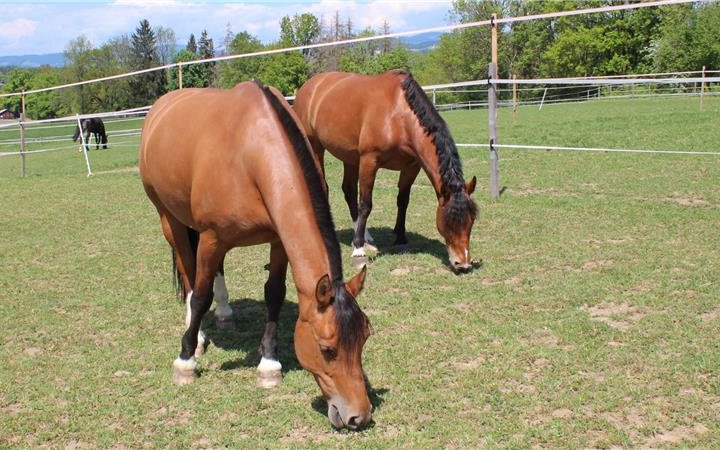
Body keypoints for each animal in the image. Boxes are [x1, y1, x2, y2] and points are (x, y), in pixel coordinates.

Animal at [138, 81, 372, 432]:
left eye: (364, 339)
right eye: (328, 350)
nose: (359, 416)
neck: (250, 153)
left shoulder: (278, 240)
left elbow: (274, 293)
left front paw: (269, 364)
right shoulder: (211, 237)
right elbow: (200, 296)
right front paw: (185, 360)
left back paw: (224, 313)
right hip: (171, 219)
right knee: (189, 273)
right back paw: (198, 334)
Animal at [292, 70, 478, 274]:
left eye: (471, 220)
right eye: (449, 221)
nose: (464, 263)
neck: (398, 115)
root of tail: (309, 85)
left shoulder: (411, 166)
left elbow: (403, 201)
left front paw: (400, 237)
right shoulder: (369, 161)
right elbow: (366, 204)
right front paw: (358, 251)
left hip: (350, 157)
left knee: (349, 191)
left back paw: (365, 237)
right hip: (315, 146)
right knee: (325, 187)